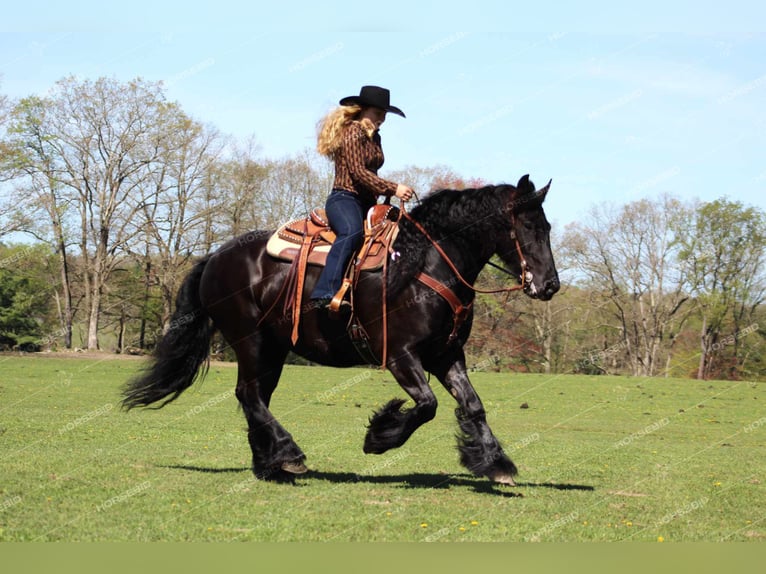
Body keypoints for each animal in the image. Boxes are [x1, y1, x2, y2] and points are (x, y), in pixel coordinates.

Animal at [124, 174, 560, 486]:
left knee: (255, 398)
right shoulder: (401, 355)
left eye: (548, 227)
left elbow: (472, 404)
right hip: (251, 341)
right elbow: (427, 405)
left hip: (272, 349)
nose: (550, 285)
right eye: (526, 226)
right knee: (249, 395)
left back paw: (270, 464)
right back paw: (289, 454)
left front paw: (495, 462)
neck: (425, 264)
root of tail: (215, 256)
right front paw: (379, 438)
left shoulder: (447, 354)